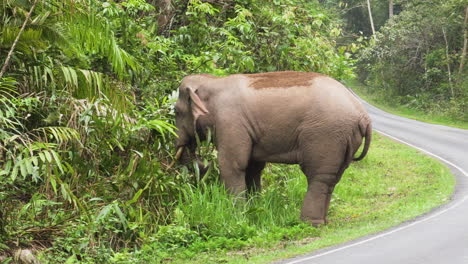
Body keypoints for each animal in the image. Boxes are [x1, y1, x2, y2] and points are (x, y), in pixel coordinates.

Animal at [174, 71, 372, 226]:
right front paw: (254, 208)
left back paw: (309, 223)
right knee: (332, 178)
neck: (213, 81)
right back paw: (322, 222)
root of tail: (364, 117)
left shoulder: (230, 121)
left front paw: (238, 216)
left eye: (175, 111)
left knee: (318, 176)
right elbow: (253, 167)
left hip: (325, 135)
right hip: (343, 139)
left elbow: (232, 165)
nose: (201, 161)